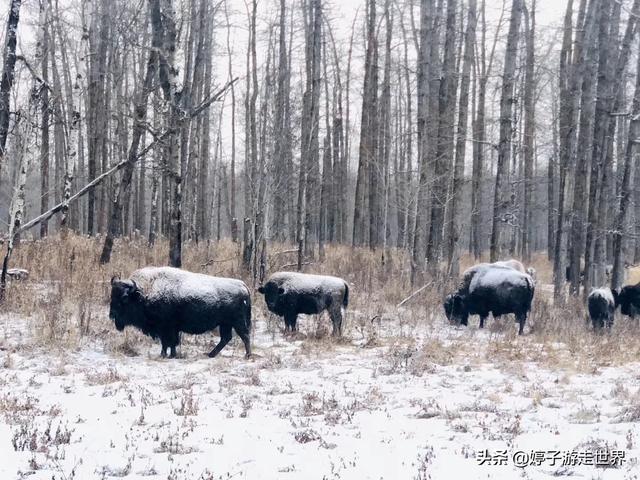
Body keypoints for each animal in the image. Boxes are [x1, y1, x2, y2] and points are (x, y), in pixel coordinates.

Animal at [109, 267, 252, 359]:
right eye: (112, 295)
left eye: (124, 297)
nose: (112, 315)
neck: (145, 292)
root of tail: (243, 285)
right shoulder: (170, 329)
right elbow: (170, 343)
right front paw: (170, 354)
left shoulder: (166, 328)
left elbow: (168, 342)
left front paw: (165, 355)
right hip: (225, 324)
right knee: (226, 338)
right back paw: (211, 354)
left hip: (237, 322)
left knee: (244, 335)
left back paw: (247, 355)